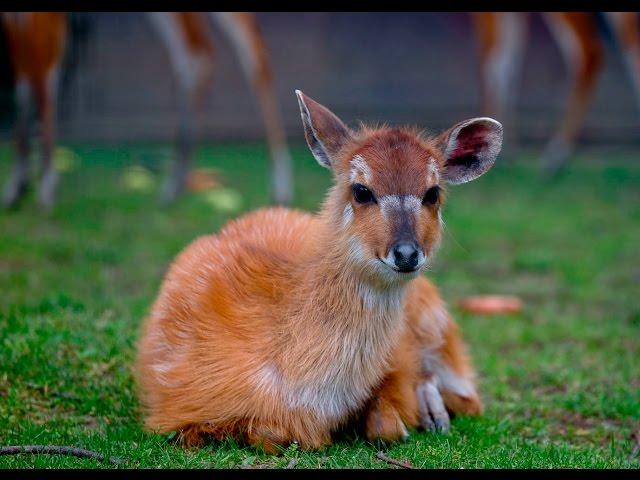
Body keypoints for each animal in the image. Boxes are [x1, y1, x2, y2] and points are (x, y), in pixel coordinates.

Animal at [135, 91, 502, 454]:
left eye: (433, 193)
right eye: (361, 190)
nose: (407, 253)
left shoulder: (399, 353)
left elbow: (387, 425)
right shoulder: (179, 407)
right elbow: (268, 435)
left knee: (468, 395)